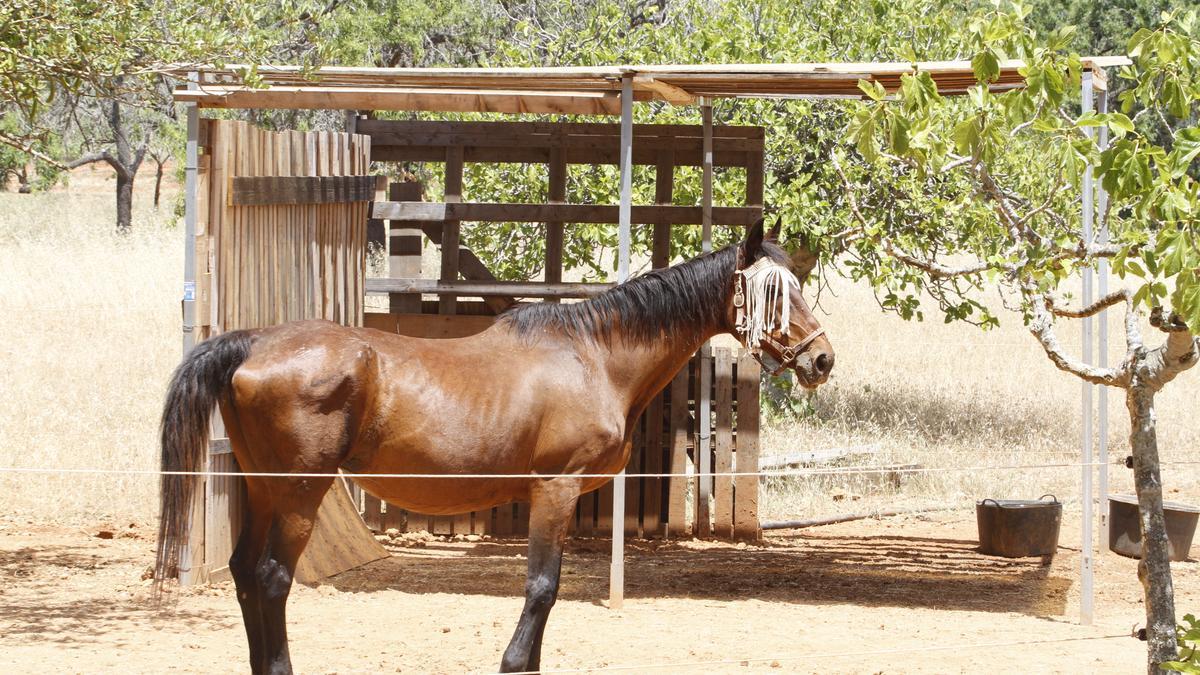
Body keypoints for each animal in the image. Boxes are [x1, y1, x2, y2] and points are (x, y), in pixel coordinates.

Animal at [154, 218, 835, 667]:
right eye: (775, 293)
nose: (822, 359)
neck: (594, 355)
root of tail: (253, 343)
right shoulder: (555, 490)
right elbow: (542, 588)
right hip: (299, 494)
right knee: (271, 580)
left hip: (261, 487)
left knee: (245, 574)